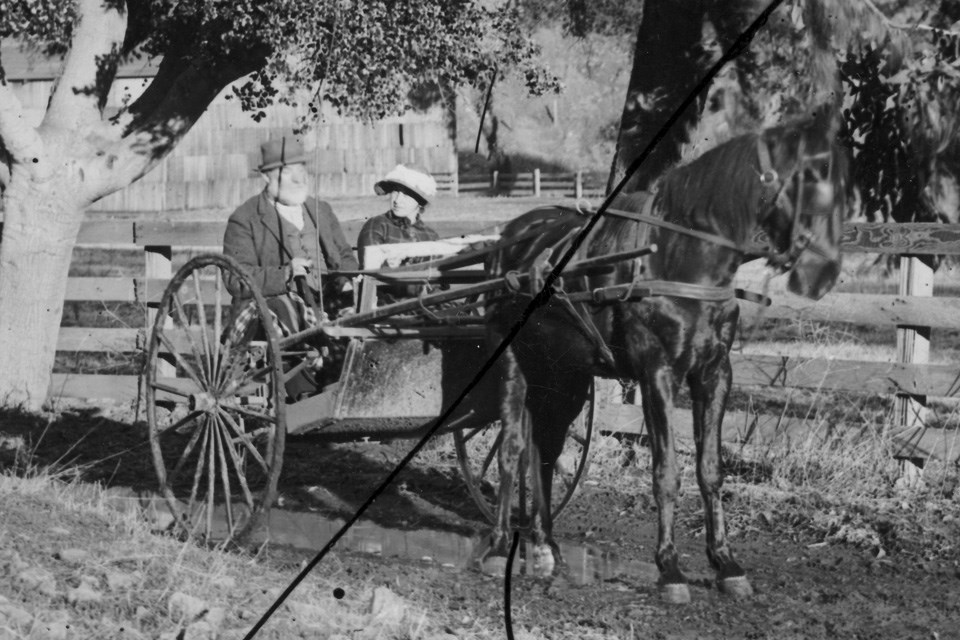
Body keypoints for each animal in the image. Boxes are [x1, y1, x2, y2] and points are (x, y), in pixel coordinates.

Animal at [480, 111, 848, 604]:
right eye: (810, 176)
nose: (822, 272)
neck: (681, 260)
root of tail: (510, 238)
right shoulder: (657, 374)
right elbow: (667, 472)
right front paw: (670, 569)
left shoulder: (715, 374)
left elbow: (710, 470)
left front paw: (726, 564)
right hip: (515, 364)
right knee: (512, 449)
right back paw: (500, 545)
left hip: (565, 376)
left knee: (544, 447)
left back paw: (543, 544)